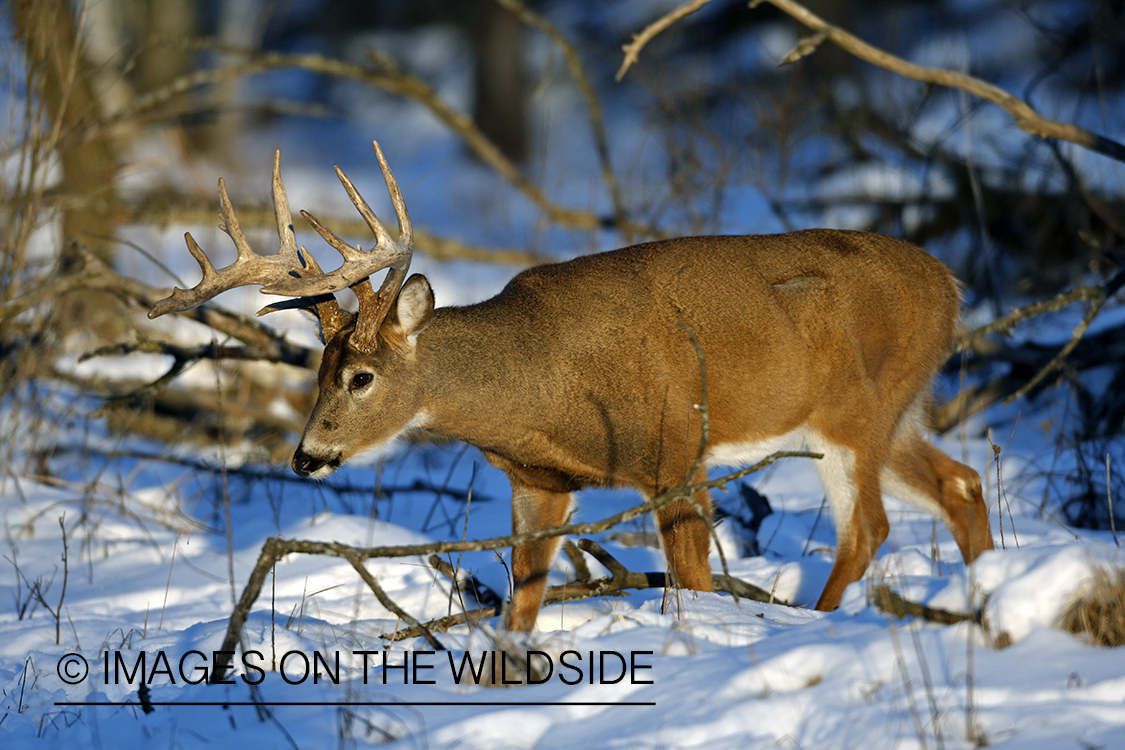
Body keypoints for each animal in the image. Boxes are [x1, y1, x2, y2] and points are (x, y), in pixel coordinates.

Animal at [147, 139, 994, 629]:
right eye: (318, 372)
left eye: (360, 376)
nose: (307, 456)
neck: (544, 387)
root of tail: (952, 284)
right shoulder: (538, 479)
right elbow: (520, 602)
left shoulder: (677, 448)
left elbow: (694, 583)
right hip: (889, 412)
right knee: (960, 481)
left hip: (852, 411)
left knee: (869, 526)